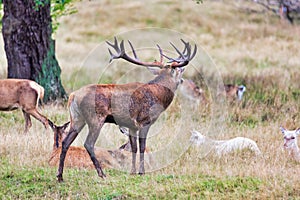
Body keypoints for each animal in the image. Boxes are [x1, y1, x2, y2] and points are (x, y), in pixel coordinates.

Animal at [56, 37, 197, 181]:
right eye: (179, 71)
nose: (183, 80)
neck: (158, 95)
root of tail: (73, 96)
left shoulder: (131, 126)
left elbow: (134, 147)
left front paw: (132, 171)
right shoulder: (145, 121)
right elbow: (142, 147)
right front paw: (141, 172)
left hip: (77, 119)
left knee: (66, 142)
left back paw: (60, 176)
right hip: (95, 117)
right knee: (88, 143)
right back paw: (102, 174)